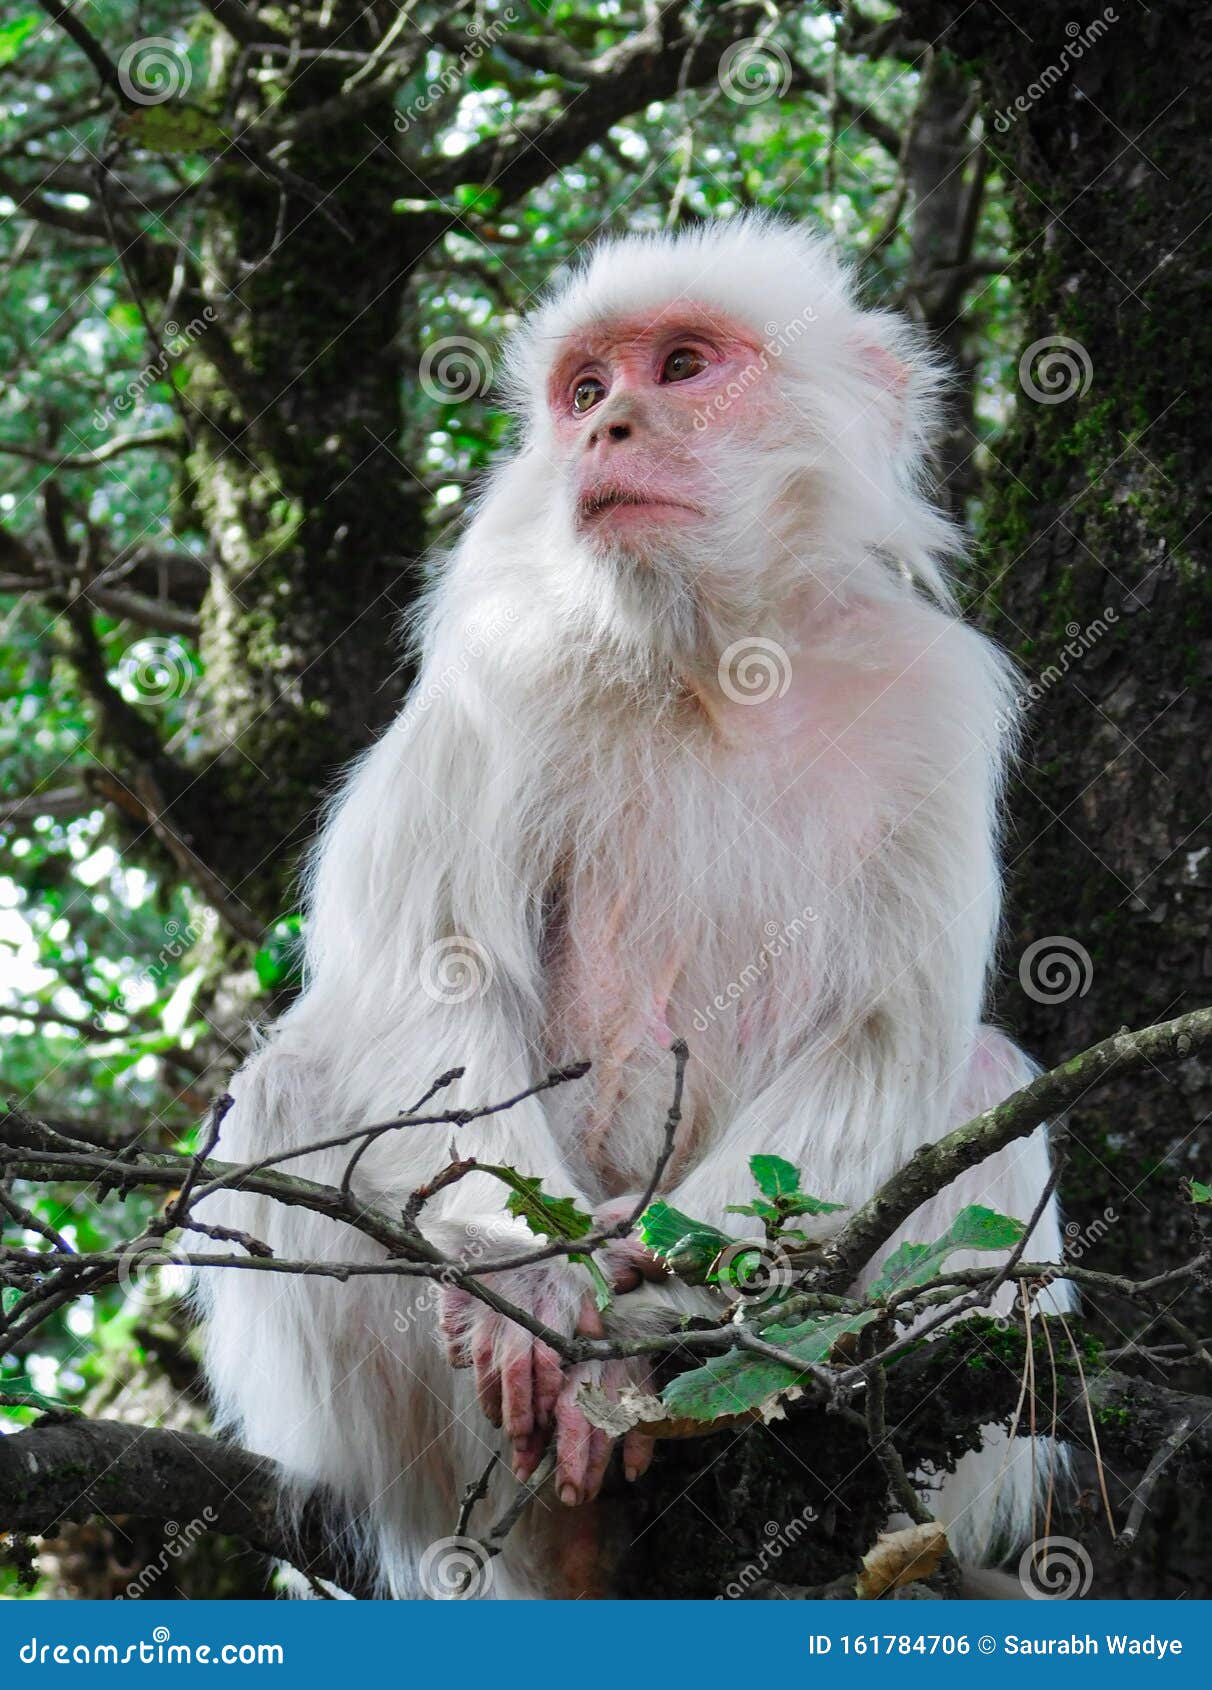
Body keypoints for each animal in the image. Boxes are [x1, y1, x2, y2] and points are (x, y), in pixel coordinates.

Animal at [201, 218, 1068, 1602]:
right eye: (590, 389)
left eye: (684, 367)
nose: (608, 431)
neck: (719, 654)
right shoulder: (509, 652)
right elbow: (433, 972)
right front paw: (532, 1276)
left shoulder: (929, 692)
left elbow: (881, 1038)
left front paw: (637, 1278)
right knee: (293, 1082)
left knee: (980, 1084)